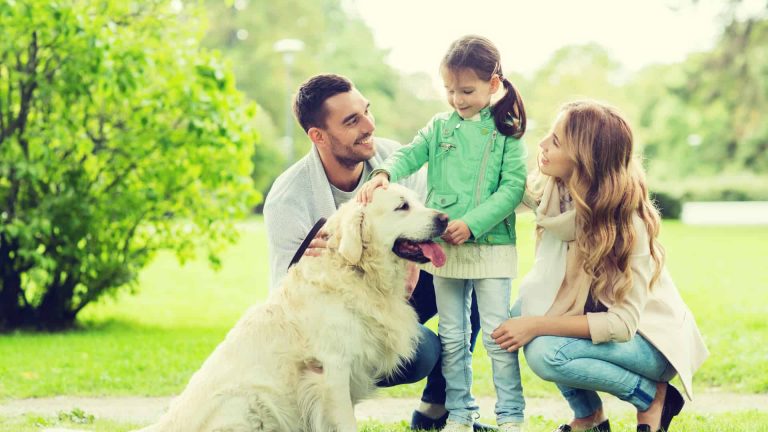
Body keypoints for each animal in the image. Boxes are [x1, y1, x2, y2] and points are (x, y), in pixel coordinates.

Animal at [137, 184, 448, 432]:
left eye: (418, 200)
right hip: (248, 401)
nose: (444, 219)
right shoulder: (333, 368)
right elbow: (345, 421)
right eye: (402, 206)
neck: (358, 271)